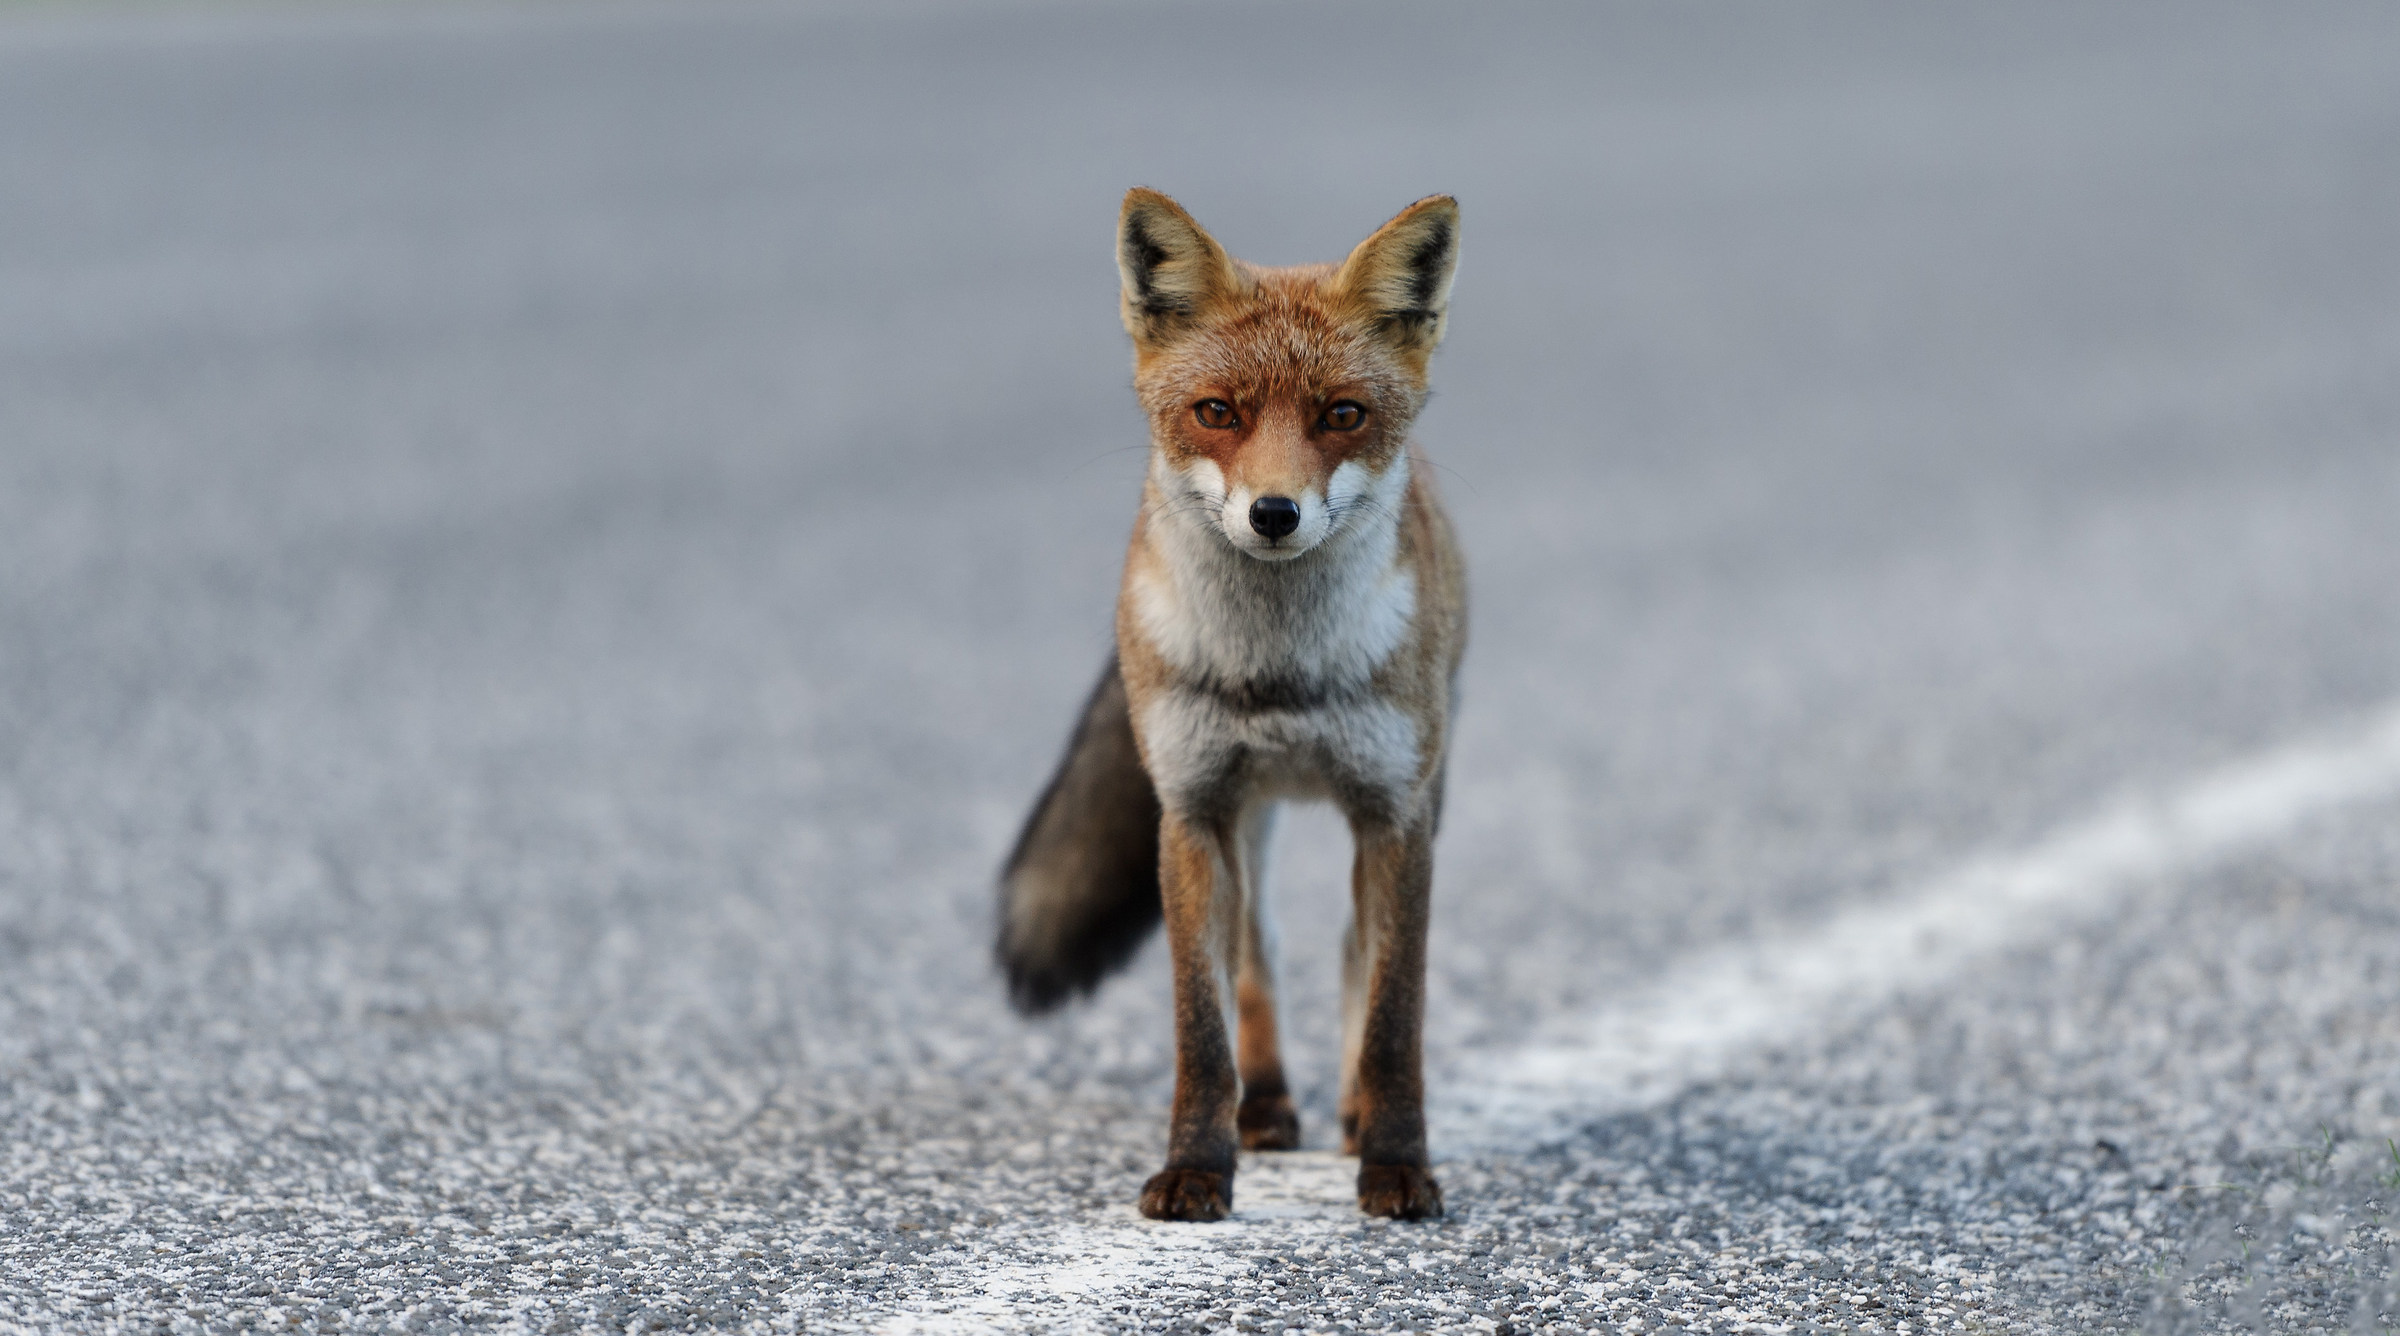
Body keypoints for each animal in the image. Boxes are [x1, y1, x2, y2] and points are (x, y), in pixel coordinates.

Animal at [996, 188, 1465, 1223]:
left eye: (1341, 415)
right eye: (1218, 413)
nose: (1275, 514)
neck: (1278, 673)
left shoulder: (1397, 815)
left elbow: (1394, 1017)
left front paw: (1396, 1164)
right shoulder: (1193, 810)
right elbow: (1200, 1028)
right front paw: (1197, 1170)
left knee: (1348, 955)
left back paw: (1349, 1118)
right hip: (1248, 822)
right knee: (1261, 955)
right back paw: (1270, 1108)